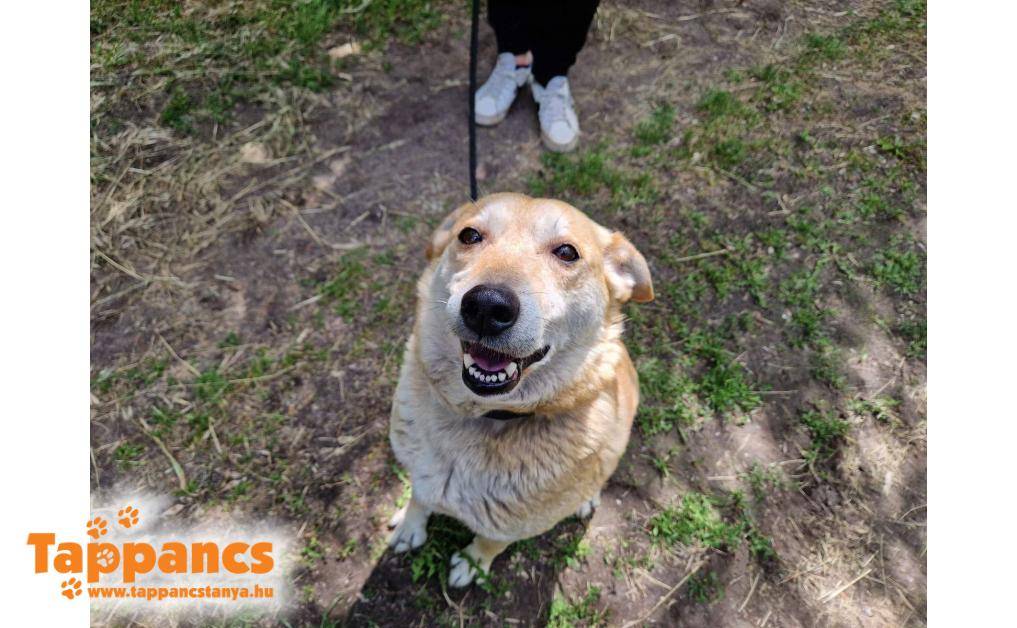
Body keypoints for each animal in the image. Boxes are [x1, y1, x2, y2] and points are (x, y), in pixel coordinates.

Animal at [387, 192, 653, 587]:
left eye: (567, 252)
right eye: (469, 235)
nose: (486, 306)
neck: (484, 417)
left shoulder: (515, 524)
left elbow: (490, 541)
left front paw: (473, 563)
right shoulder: (419, 471)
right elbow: (420, 497)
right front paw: (410, 526)